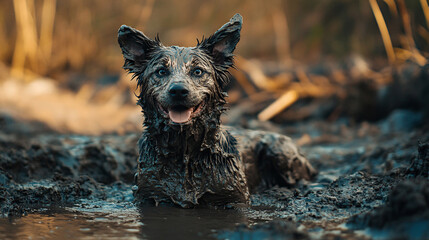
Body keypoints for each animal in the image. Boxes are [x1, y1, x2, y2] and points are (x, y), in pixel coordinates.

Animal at [118, 13, 316, 208]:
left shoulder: (234, 199)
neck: (185, 153)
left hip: (281, 153)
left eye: (198, 71)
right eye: (161, 71)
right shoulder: (148, 196)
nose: (178, 91)